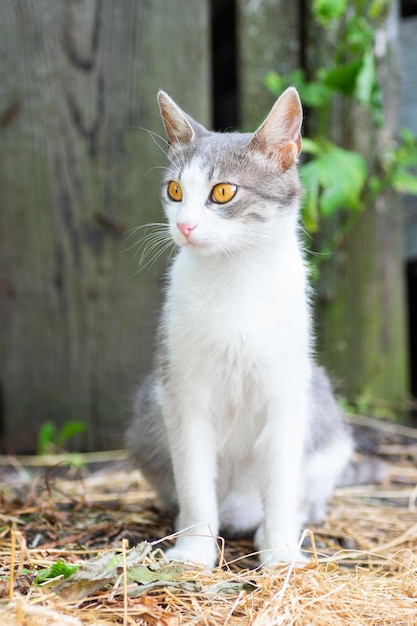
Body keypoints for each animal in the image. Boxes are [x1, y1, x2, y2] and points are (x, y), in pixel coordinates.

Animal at [125, 86, 352, 564]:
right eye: (175, 190)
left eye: (223, 192)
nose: (184, 224)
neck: (234, 279)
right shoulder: (181, 391)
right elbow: (194, 479)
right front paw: (194, 550)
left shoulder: (287, 392)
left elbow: (282, 482)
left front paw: (281, 552)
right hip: (148, 415)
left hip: (323, 415)